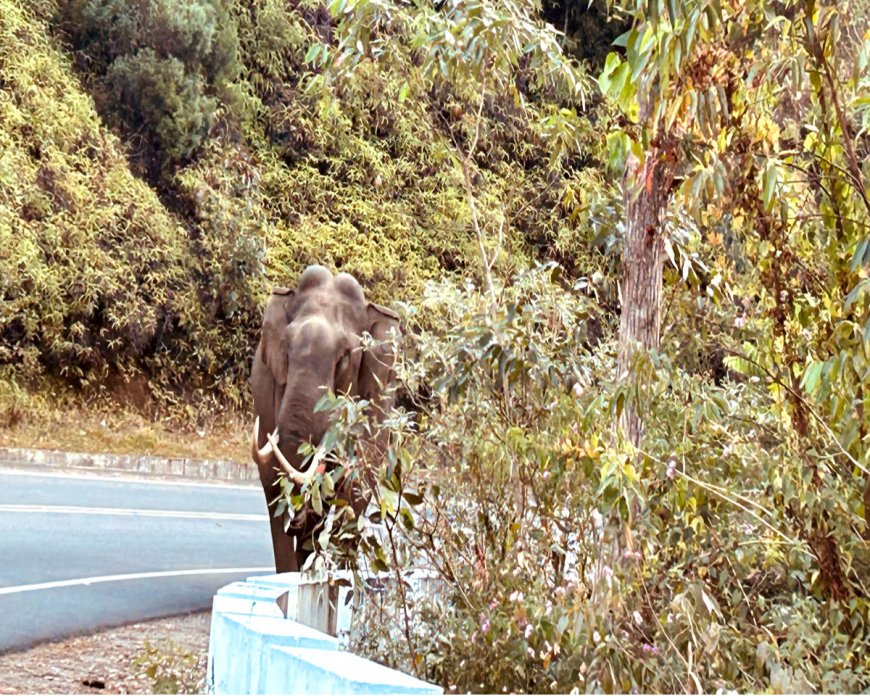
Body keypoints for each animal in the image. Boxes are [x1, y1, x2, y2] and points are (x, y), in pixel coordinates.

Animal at [249, 264, 402, 572]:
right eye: (286, 348)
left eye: (343, 358)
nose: (297, 517)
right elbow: (272, 485)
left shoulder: (380, 394)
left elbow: (356, 487)